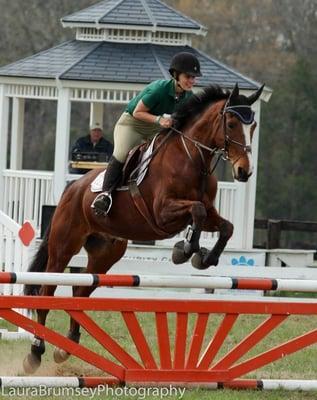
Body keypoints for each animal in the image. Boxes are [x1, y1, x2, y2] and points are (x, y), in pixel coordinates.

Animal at [23, 83, 262, 374]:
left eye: (253, 126)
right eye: (231, 123)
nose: (244, 171)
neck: (192, 159)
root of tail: (72, 188)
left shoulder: (209, 213)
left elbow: (225, 226)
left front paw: (204, 257)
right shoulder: (162, 213)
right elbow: (196, 211)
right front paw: (185, 250)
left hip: (105, 254)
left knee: (80, 292)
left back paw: (66, 346)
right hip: (63, 247)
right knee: (46, 294)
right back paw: (35, 352)